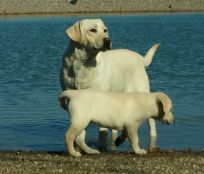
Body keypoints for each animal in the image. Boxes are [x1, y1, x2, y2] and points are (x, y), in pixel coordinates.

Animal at [60, 18, 159, 150]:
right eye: (93, 30)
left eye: (105, 30)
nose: (108, 40)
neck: (83, 64)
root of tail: (140, 57)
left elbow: (102, 129)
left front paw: (100, 146)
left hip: (142, 90)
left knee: (151, 121)